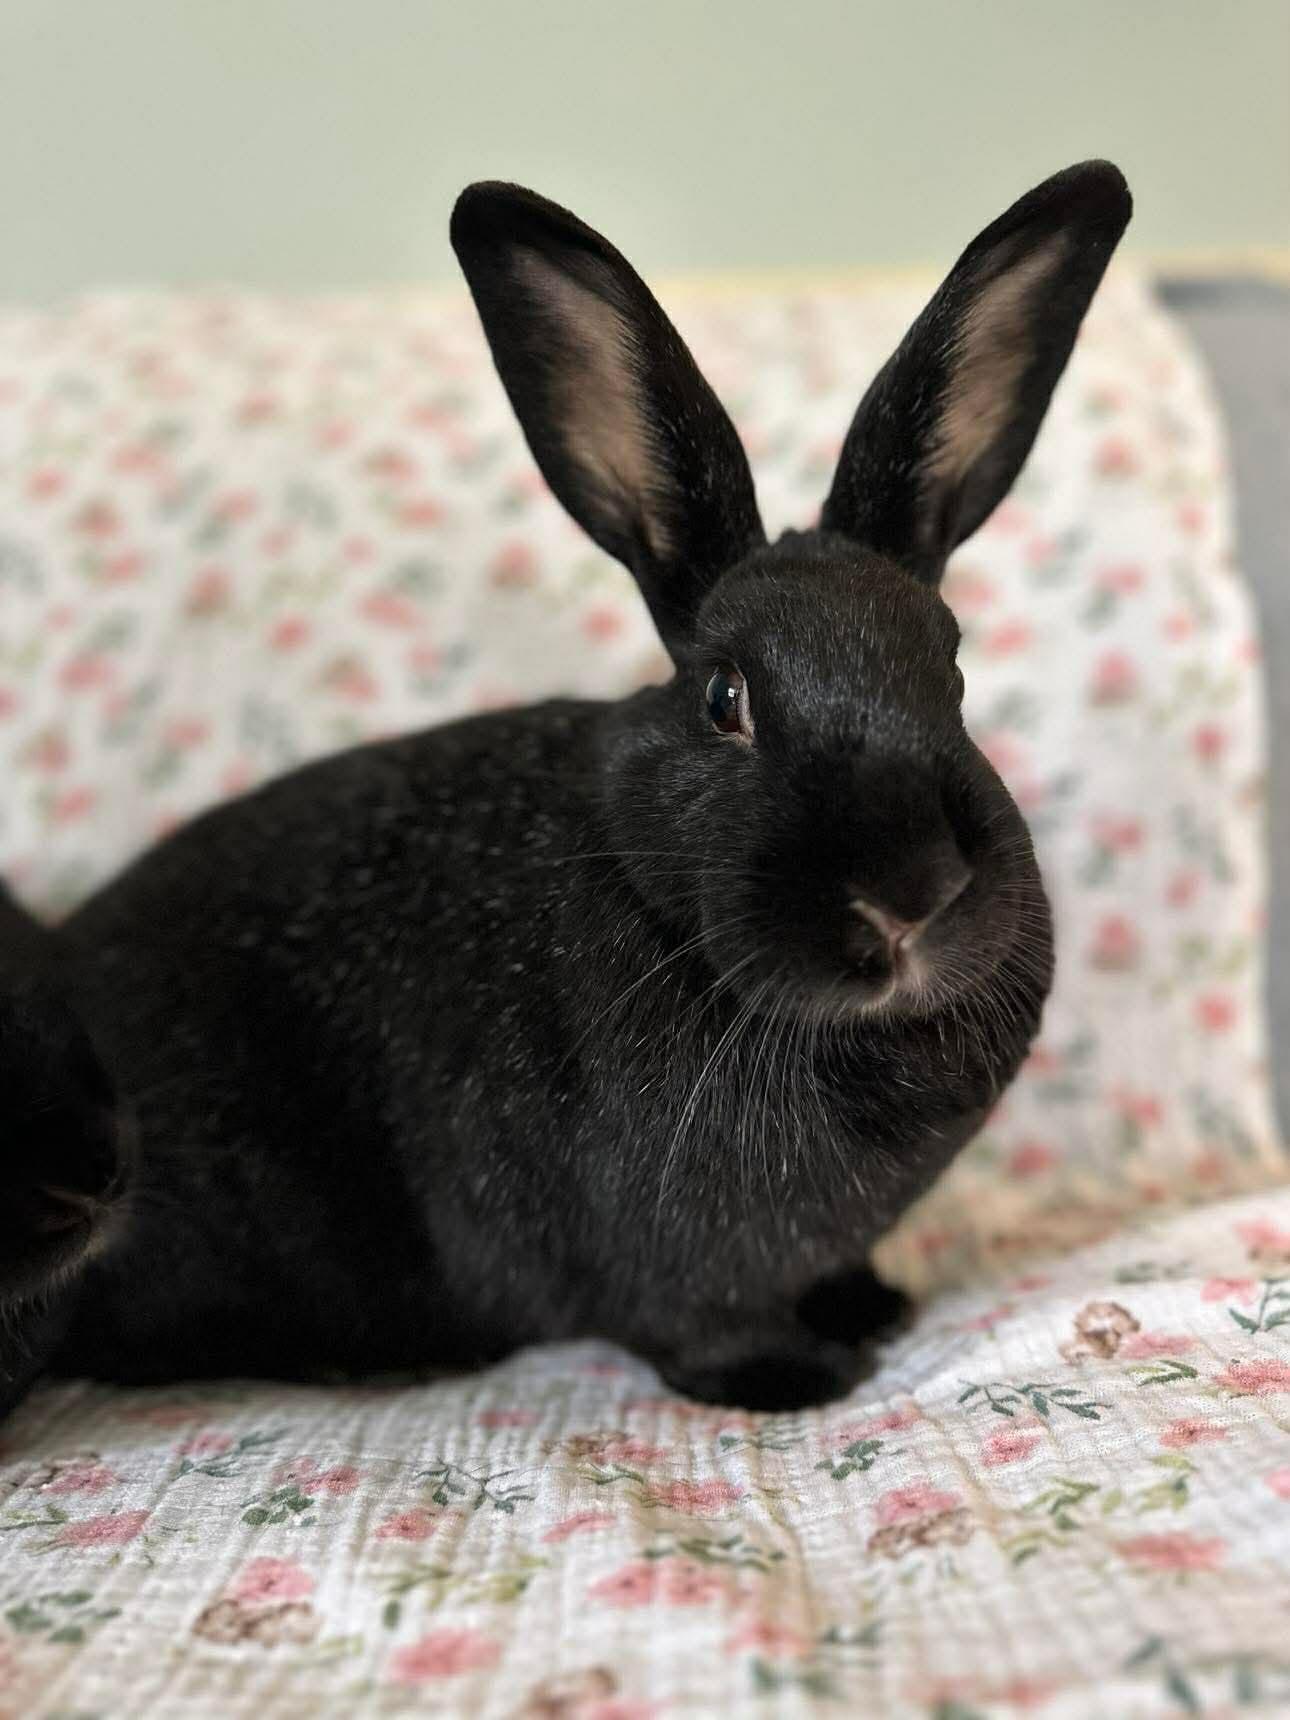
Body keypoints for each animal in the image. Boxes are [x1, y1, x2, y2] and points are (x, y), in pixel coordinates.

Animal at [0, 161, 1130, 1417]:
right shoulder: (671, 1265)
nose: (909, 898)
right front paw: (796, 1378)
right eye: (725, 697)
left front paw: (869, 1306)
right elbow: (700, 1326)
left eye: (953, 665)